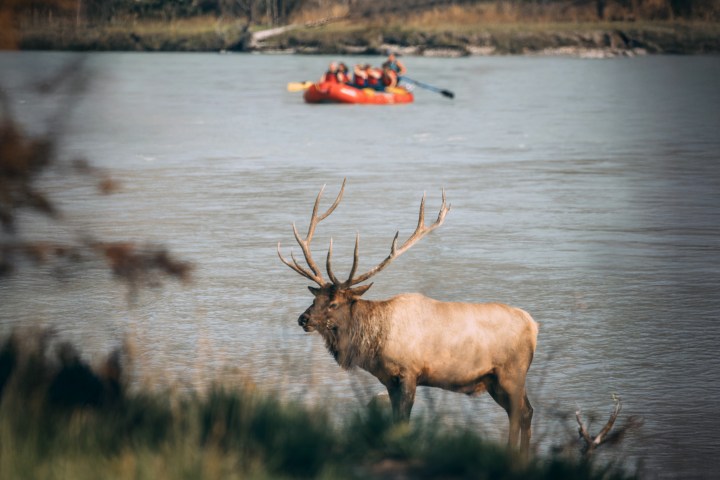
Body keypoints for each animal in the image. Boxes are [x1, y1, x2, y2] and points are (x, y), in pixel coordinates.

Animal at [278, 179, 539, 454]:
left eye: (334, 303)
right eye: (315, 299)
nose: (303, 319)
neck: (373, 344)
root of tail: (534, 326)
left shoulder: (409, 373)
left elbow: (404, 420)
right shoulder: (389, 381)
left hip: (512, 373)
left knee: (519, 413)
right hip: (494, 381)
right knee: (526, 412)